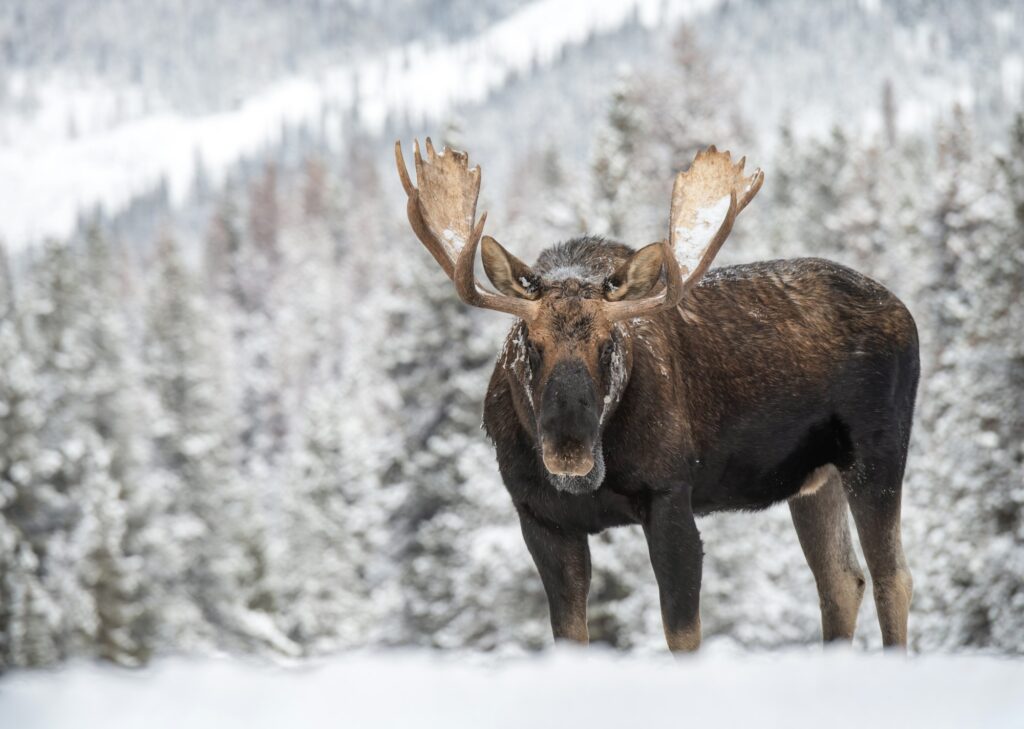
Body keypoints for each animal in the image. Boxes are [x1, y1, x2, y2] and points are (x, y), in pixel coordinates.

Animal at [393, 139, 921, 651]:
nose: (569, 450)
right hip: (814, 479)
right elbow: (570, 637)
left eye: (609, 344)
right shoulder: (540, 517)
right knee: (841, 581)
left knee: (892, 577)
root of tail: (906, 313)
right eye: (530, 342)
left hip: (877, 450)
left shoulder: (670, 495)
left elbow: (682, 634)